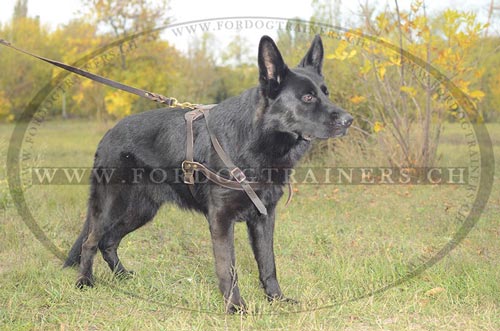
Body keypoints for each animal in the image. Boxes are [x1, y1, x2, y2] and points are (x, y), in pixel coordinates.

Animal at [64, 34, 354, 314]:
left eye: (326, 94)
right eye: (307, 98)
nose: (349, 120)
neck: (255, 140)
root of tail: (107, 135)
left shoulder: (264, 218)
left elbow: (268, 264)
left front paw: (276, 300)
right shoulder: (221, 219)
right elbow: (228, 268)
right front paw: (235, 308)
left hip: (140, 210)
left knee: (108, 241)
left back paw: (122, 276)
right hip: (112, 205)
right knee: (91, 241)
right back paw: (84, 282)